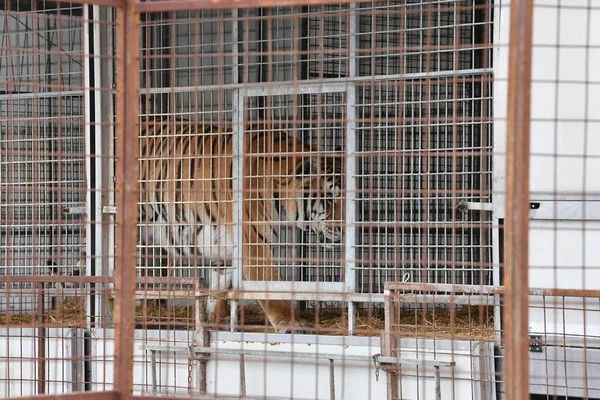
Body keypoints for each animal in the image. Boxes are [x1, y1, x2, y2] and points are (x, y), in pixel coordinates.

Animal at [136, 116, 342, 334]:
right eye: (330, 198)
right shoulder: (254, 242)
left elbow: (219, 287)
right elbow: (270, 285)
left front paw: (218, 320)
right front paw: (292, 323)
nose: (344, 229)